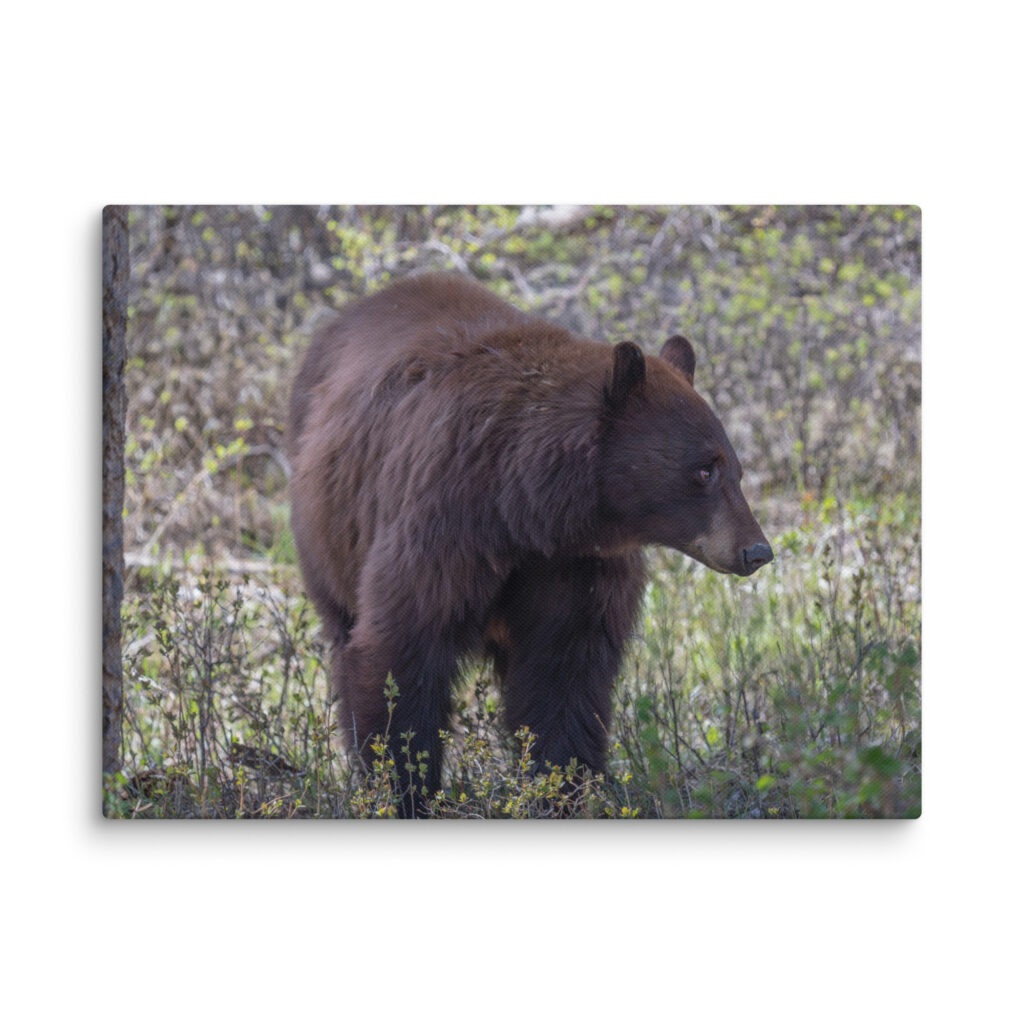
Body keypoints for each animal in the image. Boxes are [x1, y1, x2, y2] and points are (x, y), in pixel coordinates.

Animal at [287, 272, 772, 815]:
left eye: (736, 469)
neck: (526, 508)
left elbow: (564, 673)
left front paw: (557, 789)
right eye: (704, 470)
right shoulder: (443, 524)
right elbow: (402, 648)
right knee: (343, 631)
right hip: (329, 533)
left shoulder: (576, 565)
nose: (757, 551)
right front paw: (403, 790)